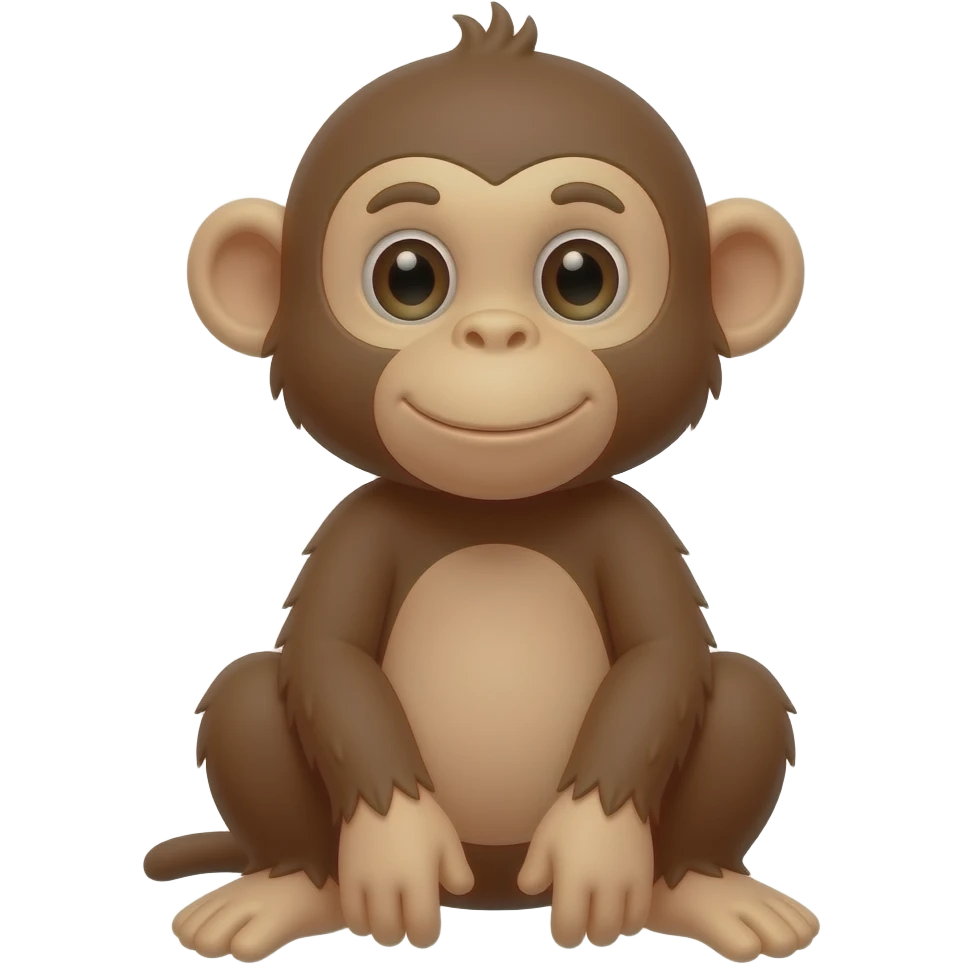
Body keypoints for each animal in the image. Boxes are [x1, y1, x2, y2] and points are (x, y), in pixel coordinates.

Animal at [144, 4, 816, 961]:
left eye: (582, 278)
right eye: (408, 278)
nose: (496, 334)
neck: (496, 516)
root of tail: (496, 893)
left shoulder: (635, 530)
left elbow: (661, 658)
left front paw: (596, 849)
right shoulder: (356, 529)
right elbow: (330, 658)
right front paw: (394, 848)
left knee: (750, 700)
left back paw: (705, 891)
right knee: (241, 699)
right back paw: (285, 891)